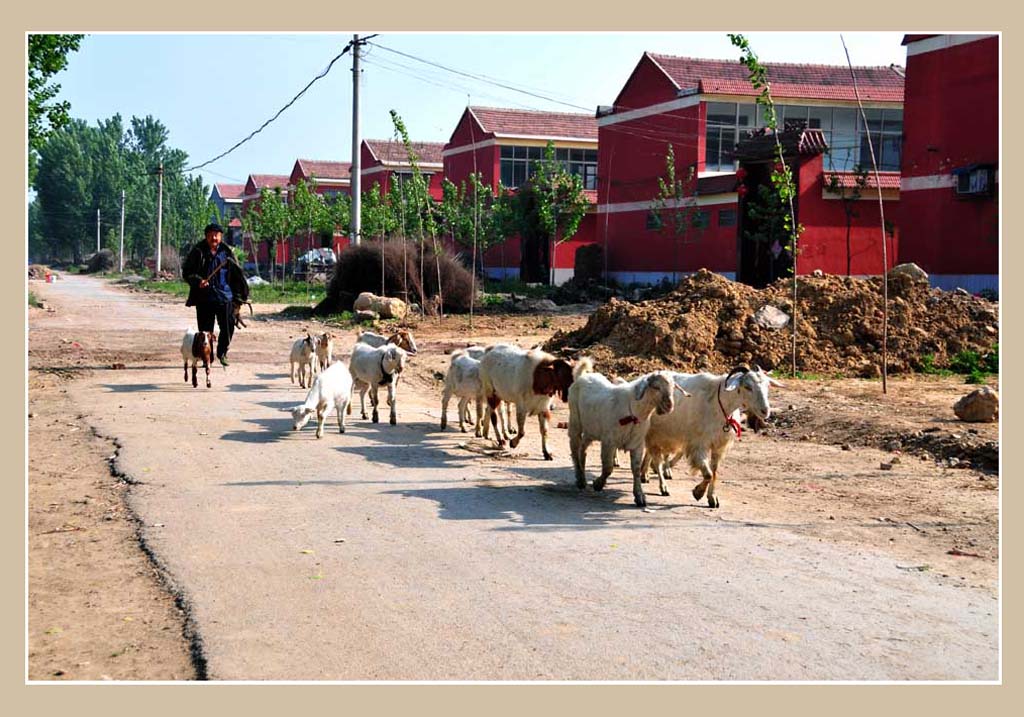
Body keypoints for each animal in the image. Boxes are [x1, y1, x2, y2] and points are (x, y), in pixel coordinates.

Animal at [569, 356, 679, 503]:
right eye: (656, 387)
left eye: (673, 387)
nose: (669, 406)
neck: (633, 411)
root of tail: (582, 376)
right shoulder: (609, 442)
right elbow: (608, 467)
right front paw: (598, 484)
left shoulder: (637, 444)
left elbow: (636, 469)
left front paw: (639, 496)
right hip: (575, 421)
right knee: (575, 448)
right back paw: (580, 480)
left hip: (590, 430)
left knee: (582, 449)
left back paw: (582, 476)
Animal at [638, 364, 782, 510]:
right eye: (747, 387)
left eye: (767, 385)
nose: (765, 411)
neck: (718, 404)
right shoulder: (699, 444)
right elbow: (708, 474)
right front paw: (698, 492)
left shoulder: (718, 446)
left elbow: (715, 472)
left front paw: (712, 499)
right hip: (655, 433)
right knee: (656, 460)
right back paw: (663, 487)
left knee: (651, 454)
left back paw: (645, 474)